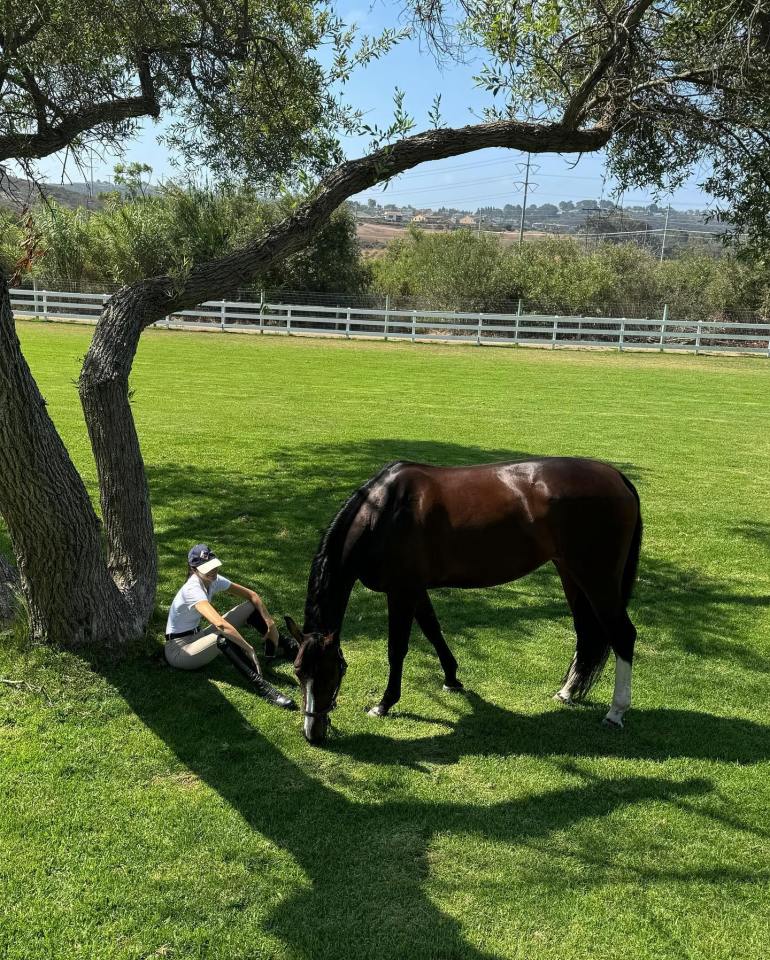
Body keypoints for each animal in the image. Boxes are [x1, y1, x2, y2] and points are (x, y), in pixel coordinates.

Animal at [284, 462, 640, 748]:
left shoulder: (401, 592)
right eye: (298, 671)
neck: (383, 513)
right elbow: (432, 630)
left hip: (597, 578)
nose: (312, 734)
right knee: (586, 633)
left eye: (332, 671)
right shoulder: (416, 589)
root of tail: (616, 476)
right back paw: (567, 692)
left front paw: (384, 704)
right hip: (571, 573)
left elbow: (397, 649)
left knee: (623, 634)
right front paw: (452, 678)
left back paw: (616, 712)